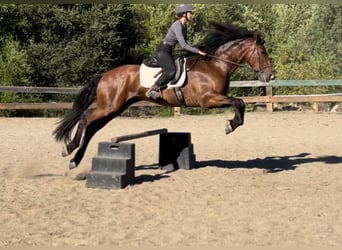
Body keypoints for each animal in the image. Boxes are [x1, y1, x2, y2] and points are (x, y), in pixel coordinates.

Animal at [54, 22, 276, 169]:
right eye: (263, 52)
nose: (270, 75)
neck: (215, 65)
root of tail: (105, 75)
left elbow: (240, 104)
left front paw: (232, 124)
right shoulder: (208, 99)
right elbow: (239, 102)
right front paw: (230, 125)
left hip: (114, 109)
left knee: (91, 128)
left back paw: (74, 159)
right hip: (109, 106)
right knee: (85, 119)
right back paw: (69, 148)